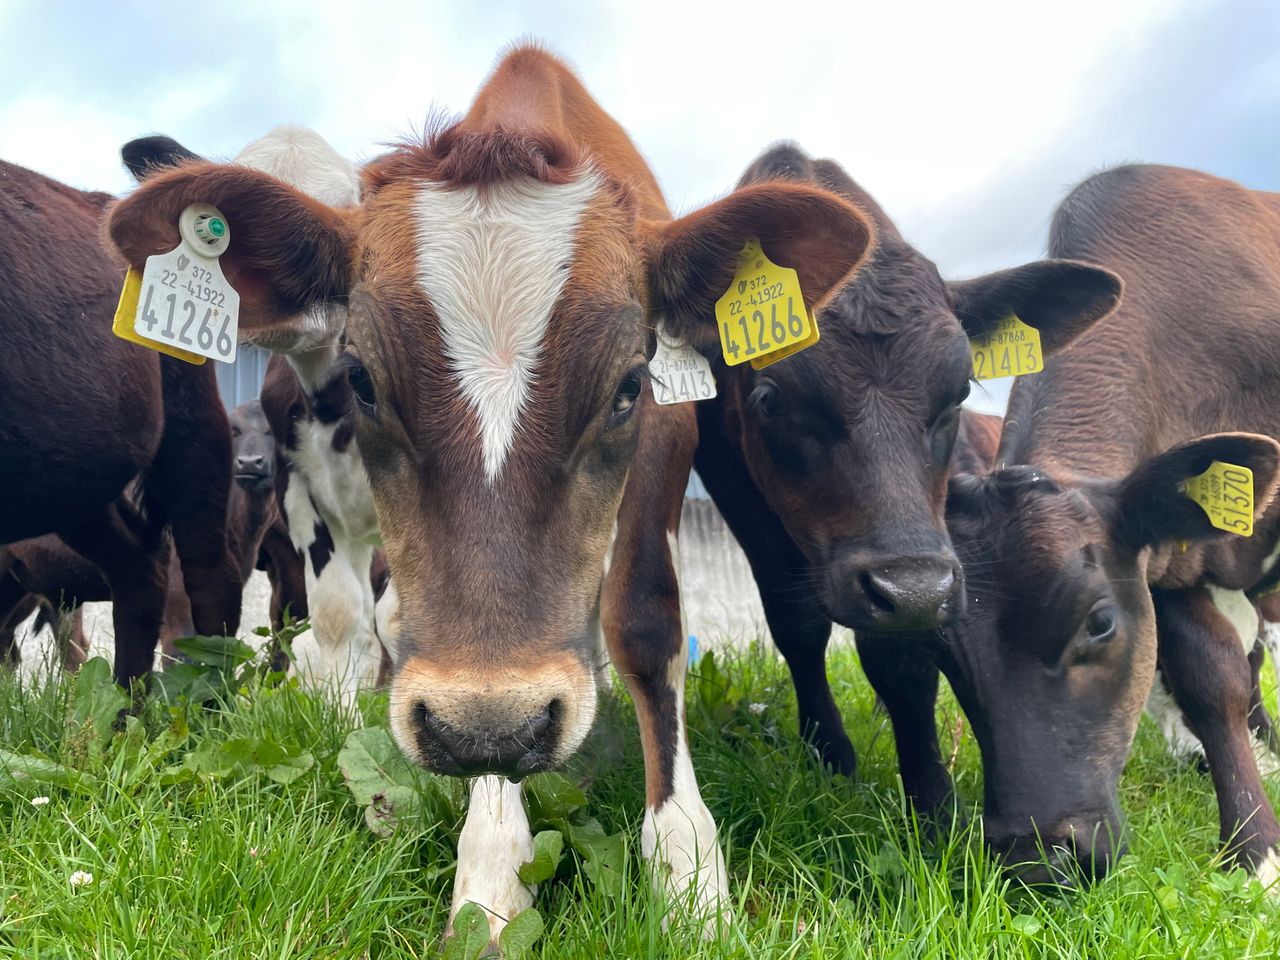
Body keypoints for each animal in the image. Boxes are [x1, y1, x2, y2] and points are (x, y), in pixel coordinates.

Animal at [0, 157, 242, 688]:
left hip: (193, 428)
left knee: (211, 574)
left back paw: (211, 699)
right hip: (72, 479)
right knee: (140, 571)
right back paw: (124, 707)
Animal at [105, 46, 876, 942]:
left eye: (628, 386)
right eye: (364, 380)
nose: (491, 720)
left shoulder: (666, 441)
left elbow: (646, 625)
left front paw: (689, 873)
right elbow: (394, 638)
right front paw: (492, 868)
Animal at [933, 163, 1280, 888]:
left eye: (1098, 623)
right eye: (944, 651)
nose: (1036, 857)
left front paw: (1257, 852)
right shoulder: (1163, 553)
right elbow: (1211, 675)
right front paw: (1254, 844)